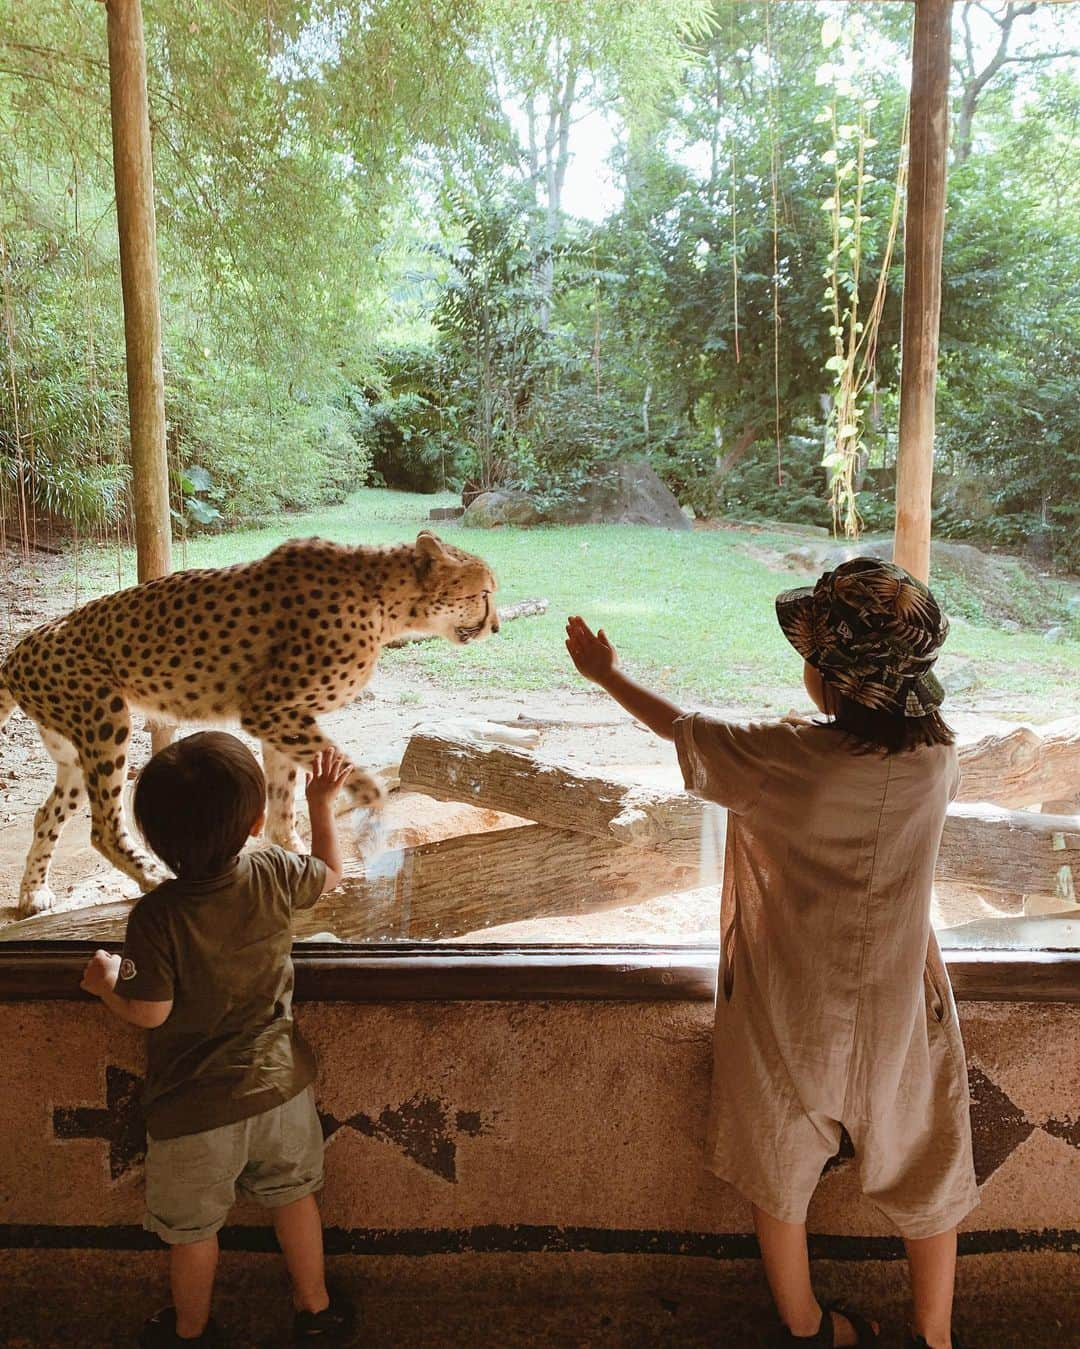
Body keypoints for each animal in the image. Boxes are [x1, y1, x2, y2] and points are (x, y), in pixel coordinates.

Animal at [0, 528, 496, 917]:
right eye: (484, 593)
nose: (497, 628)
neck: (386, 601)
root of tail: (19, 647)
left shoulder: (282, 719)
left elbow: (282, 797)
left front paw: (295, 850)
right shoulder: (270, 708)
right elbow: (346, 772)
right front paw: (367, 805)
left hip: (73, 751)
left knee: (47, 813)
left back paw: (33, 893)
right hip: (106, 719)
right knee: (103, 826)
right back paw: (151, 876)